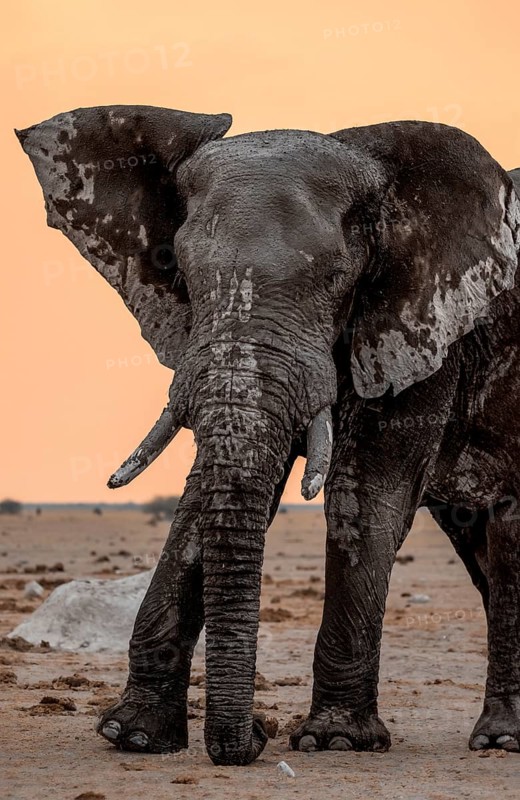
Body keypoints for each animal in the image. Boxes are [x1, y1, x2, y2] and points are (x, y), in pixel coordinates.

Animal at [17, 106, 520, 765]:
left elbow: (368, 495)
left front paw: (335, 741)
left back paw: (503, 739)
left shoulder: (428, 327)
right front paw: (134, 735)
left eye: (337, 277)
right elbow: (206, 494)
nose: (257, 733)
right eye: (181, 269)